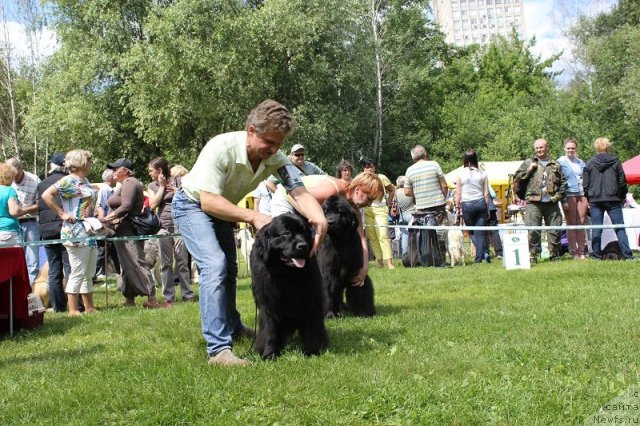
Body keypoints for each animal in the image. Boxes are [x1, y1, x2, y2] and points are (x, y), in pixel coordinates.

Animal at [250, 213, 330, 360]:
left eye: (304, 232)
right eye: (286, 233)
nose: (303, 245)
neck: (286, 275)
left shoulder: (311, 301)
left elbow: (312, 328)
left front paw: (313, 351)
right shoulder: (268, 304)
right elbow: (270, 330)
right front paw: (270, 354)